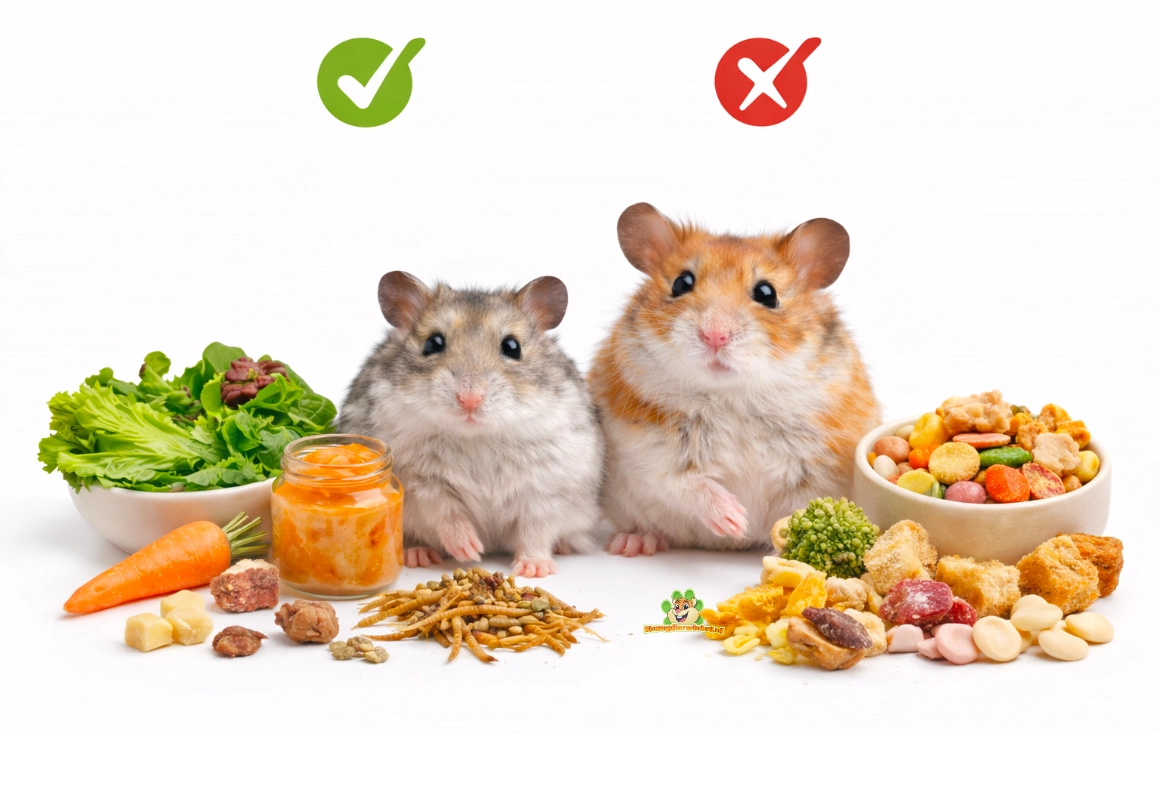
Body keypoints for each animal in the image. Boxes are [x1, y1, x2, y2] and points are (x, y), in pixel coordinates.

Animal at [339, 272, 604, 577]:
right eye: (432, 343)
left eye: (513, 347)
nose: (469, 399)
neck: (477, 437)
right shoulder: (422, 484)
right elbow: (446, 513)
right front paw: (471, 549)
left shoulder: (546, 489)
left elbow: (535, 530)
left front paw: (533, 569)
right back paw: (419, 555)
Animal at [587, 203, 880, 556]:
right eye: (681, 283)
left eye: (767, 293)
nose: (714, 335)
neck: (732, 394)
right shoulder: (649, 450)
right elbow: (685, 484)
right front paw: (734, 521)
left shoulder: (819, 468)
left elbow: (797, 511)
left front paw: (776, 550)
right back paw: (633, 543)